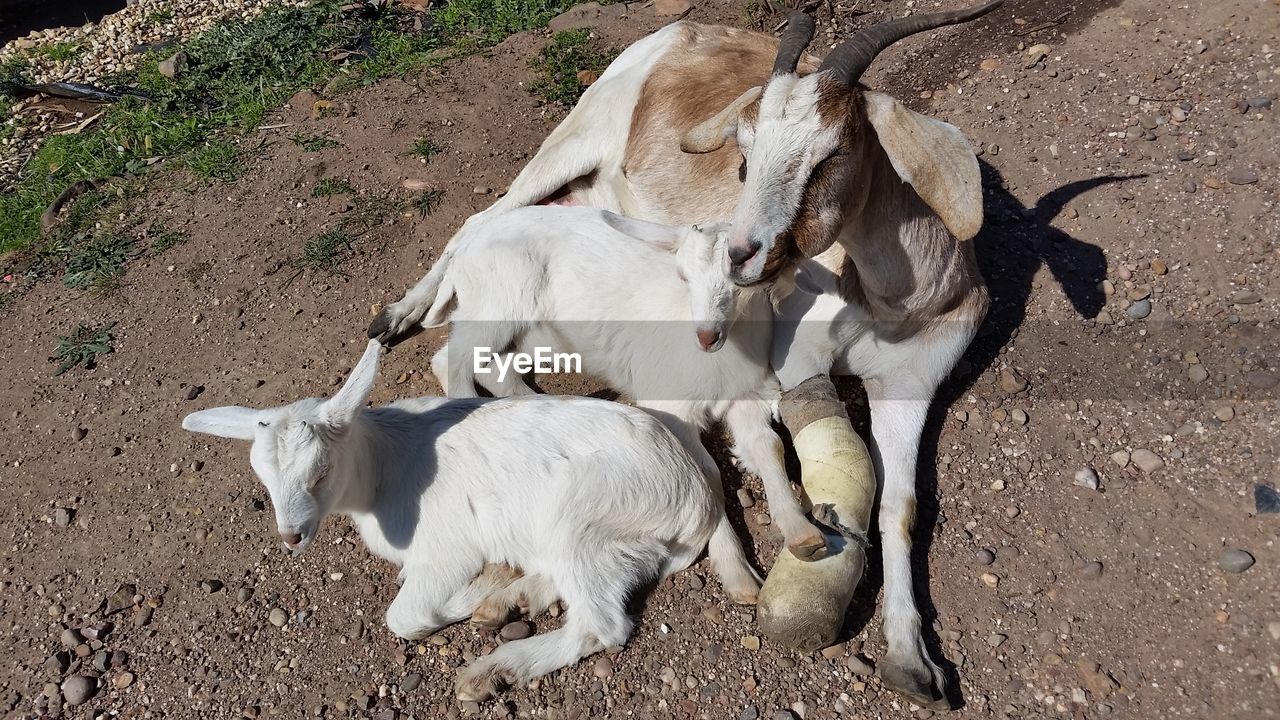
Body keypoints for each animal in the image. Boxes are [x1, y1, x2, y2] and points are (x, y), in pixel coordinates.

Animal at [373, 0, 1003, 707]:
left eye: (833, 151)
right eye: (743, 153)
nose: (744, 253)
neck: (890, 300)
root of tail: (681, 30)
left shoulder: (913, 384)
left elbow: (900, 506)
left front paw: (912, 661)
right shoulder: (789, 359)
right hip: (572, 138)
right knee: (480, 220)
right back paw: (400, 315)